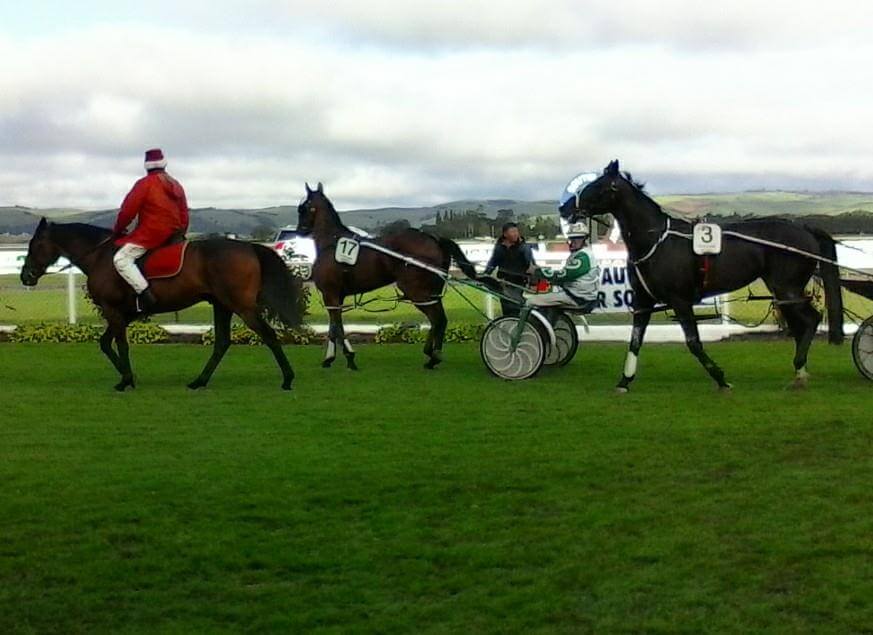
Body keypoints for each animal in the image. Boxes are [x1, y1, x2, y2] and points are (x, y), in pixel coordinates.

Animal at [19, 221, 304, 396]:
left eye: (35, 245)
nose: (26, 276)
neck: (100, 256)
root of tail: (248, 246)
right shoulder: (124, 314)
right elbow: (105, 343)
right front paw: (129, 376)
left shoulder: (114, 311)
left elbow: (119, 344)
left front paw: (126, 379)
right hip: (222, 305)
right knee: (222, 342)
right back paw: (199, 381)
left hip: (241, 307)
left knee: (268, 335)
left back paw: (288, 378)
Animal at [296, 181, 494, 370]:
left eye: (303, 207)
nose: (299, 230)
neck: (331, 243)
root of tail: (434, 239)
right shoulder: (336, 296)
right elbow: (334, 327)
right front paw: (330, 358)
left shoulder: (330, 294)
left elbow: (337, 327)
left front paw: (348, 358)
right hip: (430, 293)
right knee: (440, 320)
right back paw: (432, 356)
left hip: (416, 292)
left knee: (437, 319)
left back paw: (433, 355)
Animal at [564, 161, 840, 390]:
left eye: (596, 186)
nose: (565, 207)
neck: (657, 241)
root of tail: (804, 228)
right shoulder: (643, 301)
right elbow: (635, 341)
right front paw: (625, 381)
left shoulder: (680, 301)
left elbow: (694, 343)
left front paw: (720, 377)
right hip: (783, 292)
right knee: (801, 325)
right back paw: (800, 369)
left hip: (786, 288)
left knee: (811, 320)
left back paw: (800, 369)